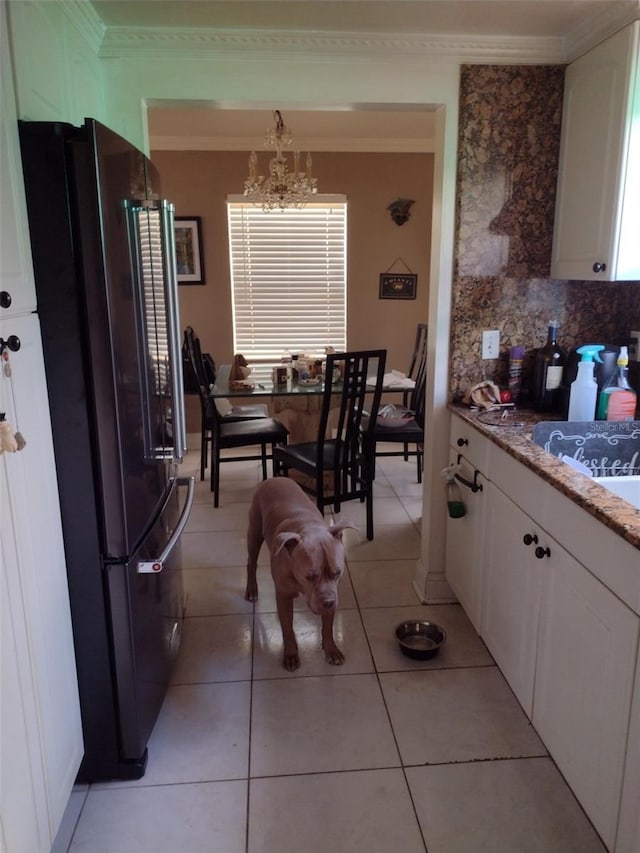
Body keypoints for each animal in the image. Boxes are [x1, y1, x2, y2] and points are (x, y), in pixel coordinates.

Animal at [245, 476, 356, 668]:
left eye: (337, 573)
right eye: (309, 576)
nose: (329, 602)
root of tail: (274, 478)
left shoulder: (331, 595)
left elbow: (328, 626)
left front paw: (331, 649)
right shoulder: (283, 597)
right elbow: (287, 628)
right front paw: (290, 654)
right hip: (254, 535)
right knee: (251, 563)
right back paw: (251, 589)